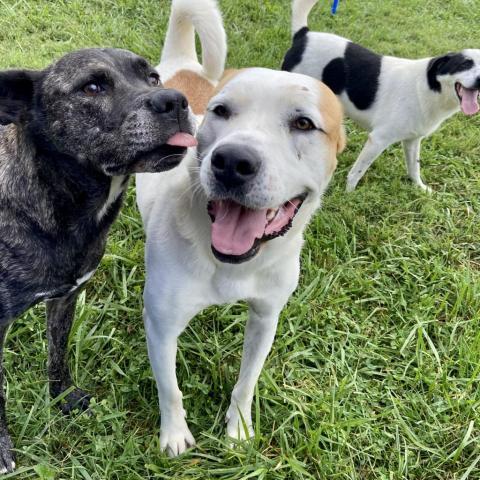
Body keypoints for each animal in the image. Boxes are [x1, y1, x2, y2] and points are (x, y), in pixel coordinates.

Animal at [0, 49, 197, 472]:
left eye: (153, 78)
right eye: (92, 87)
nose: (175, 100)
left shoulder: (65, 297)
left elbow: (57, 355)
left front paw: (62, 399)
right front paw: (1, 448)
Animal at [137, 0, 344, 458]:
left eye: (304, 124)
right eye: (221, 111)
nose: (232, 161)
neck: (231, 263)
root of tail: (185, 64)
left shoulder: (266, 318)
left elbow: (247, 382)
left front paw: (240, 429)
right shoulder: (161, 325)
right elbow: (170, 389)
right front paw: (174, 435)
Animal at [282, 0, 480, 191]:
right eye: (464, 64)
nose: (479, 79)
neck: (427, 88)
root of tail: (304, 35)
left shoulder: (413, 140)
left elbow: (414, 168)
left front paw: (420, 188)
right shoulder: (378, 139)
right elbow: (357, 172)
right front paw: (349, 194)